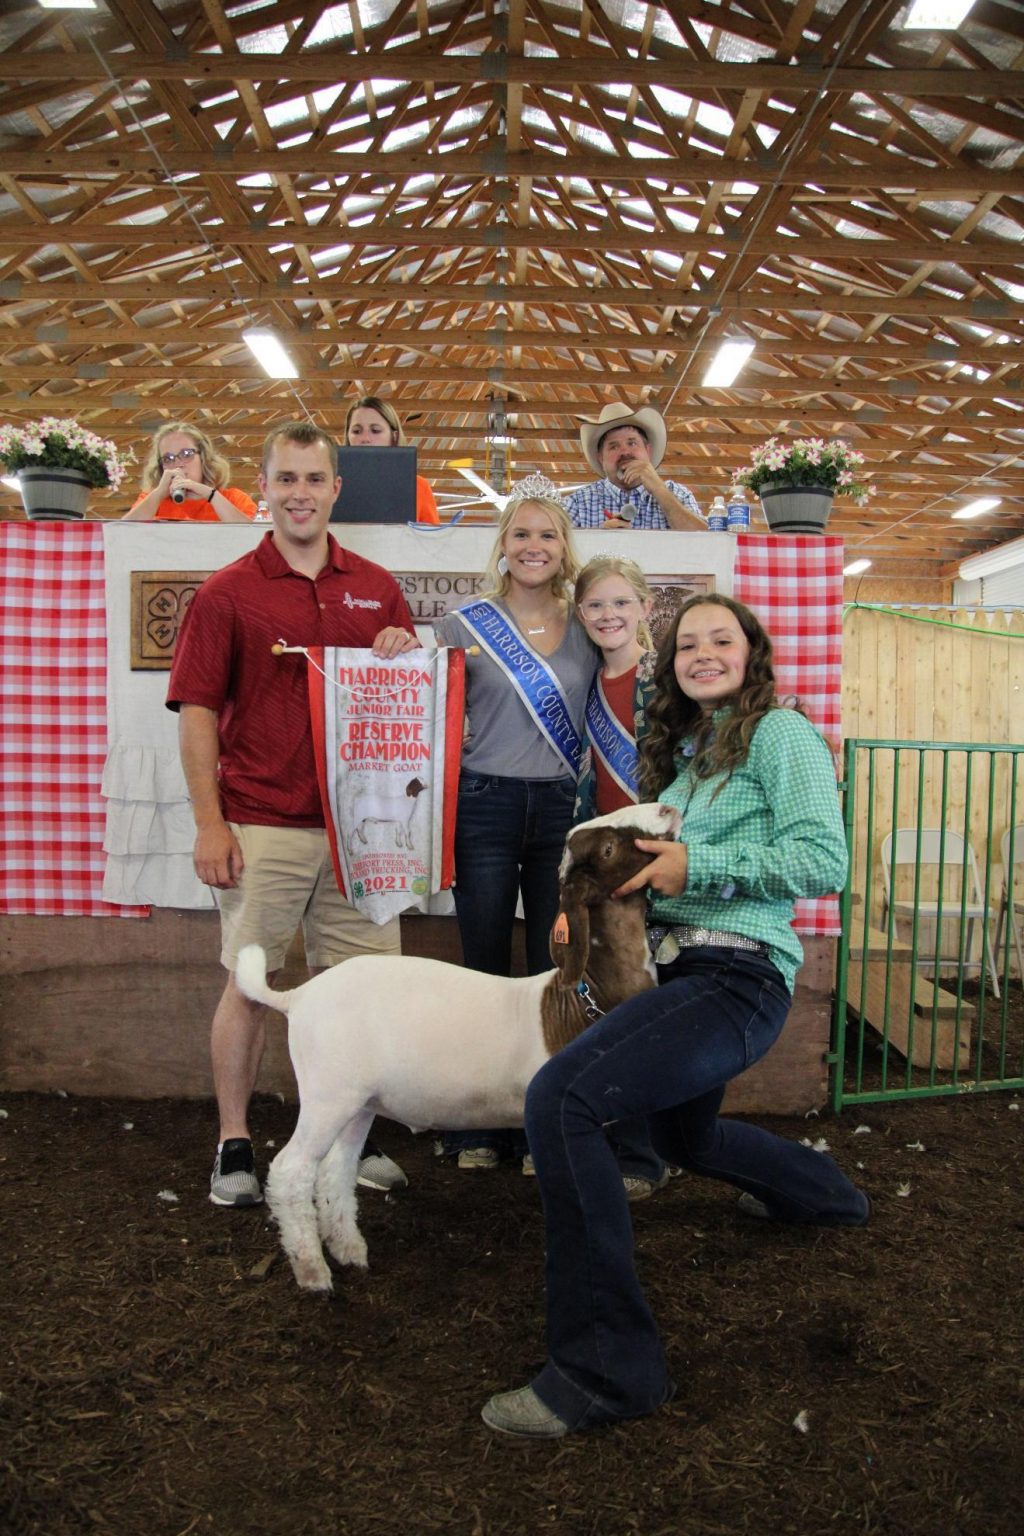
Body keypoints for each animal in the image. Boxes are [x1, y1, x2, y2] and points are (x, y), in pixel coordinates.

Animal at [235, 800, 682, 1294]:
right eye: (607, 849)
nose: (668, 808)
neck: (581, 1000)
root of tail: (297, 997)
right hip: (326, 1094)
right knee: (291, 1170)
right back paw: (313, 1272)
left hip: (358, 1101)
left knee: (336, 1170)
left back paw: (351, 1251)